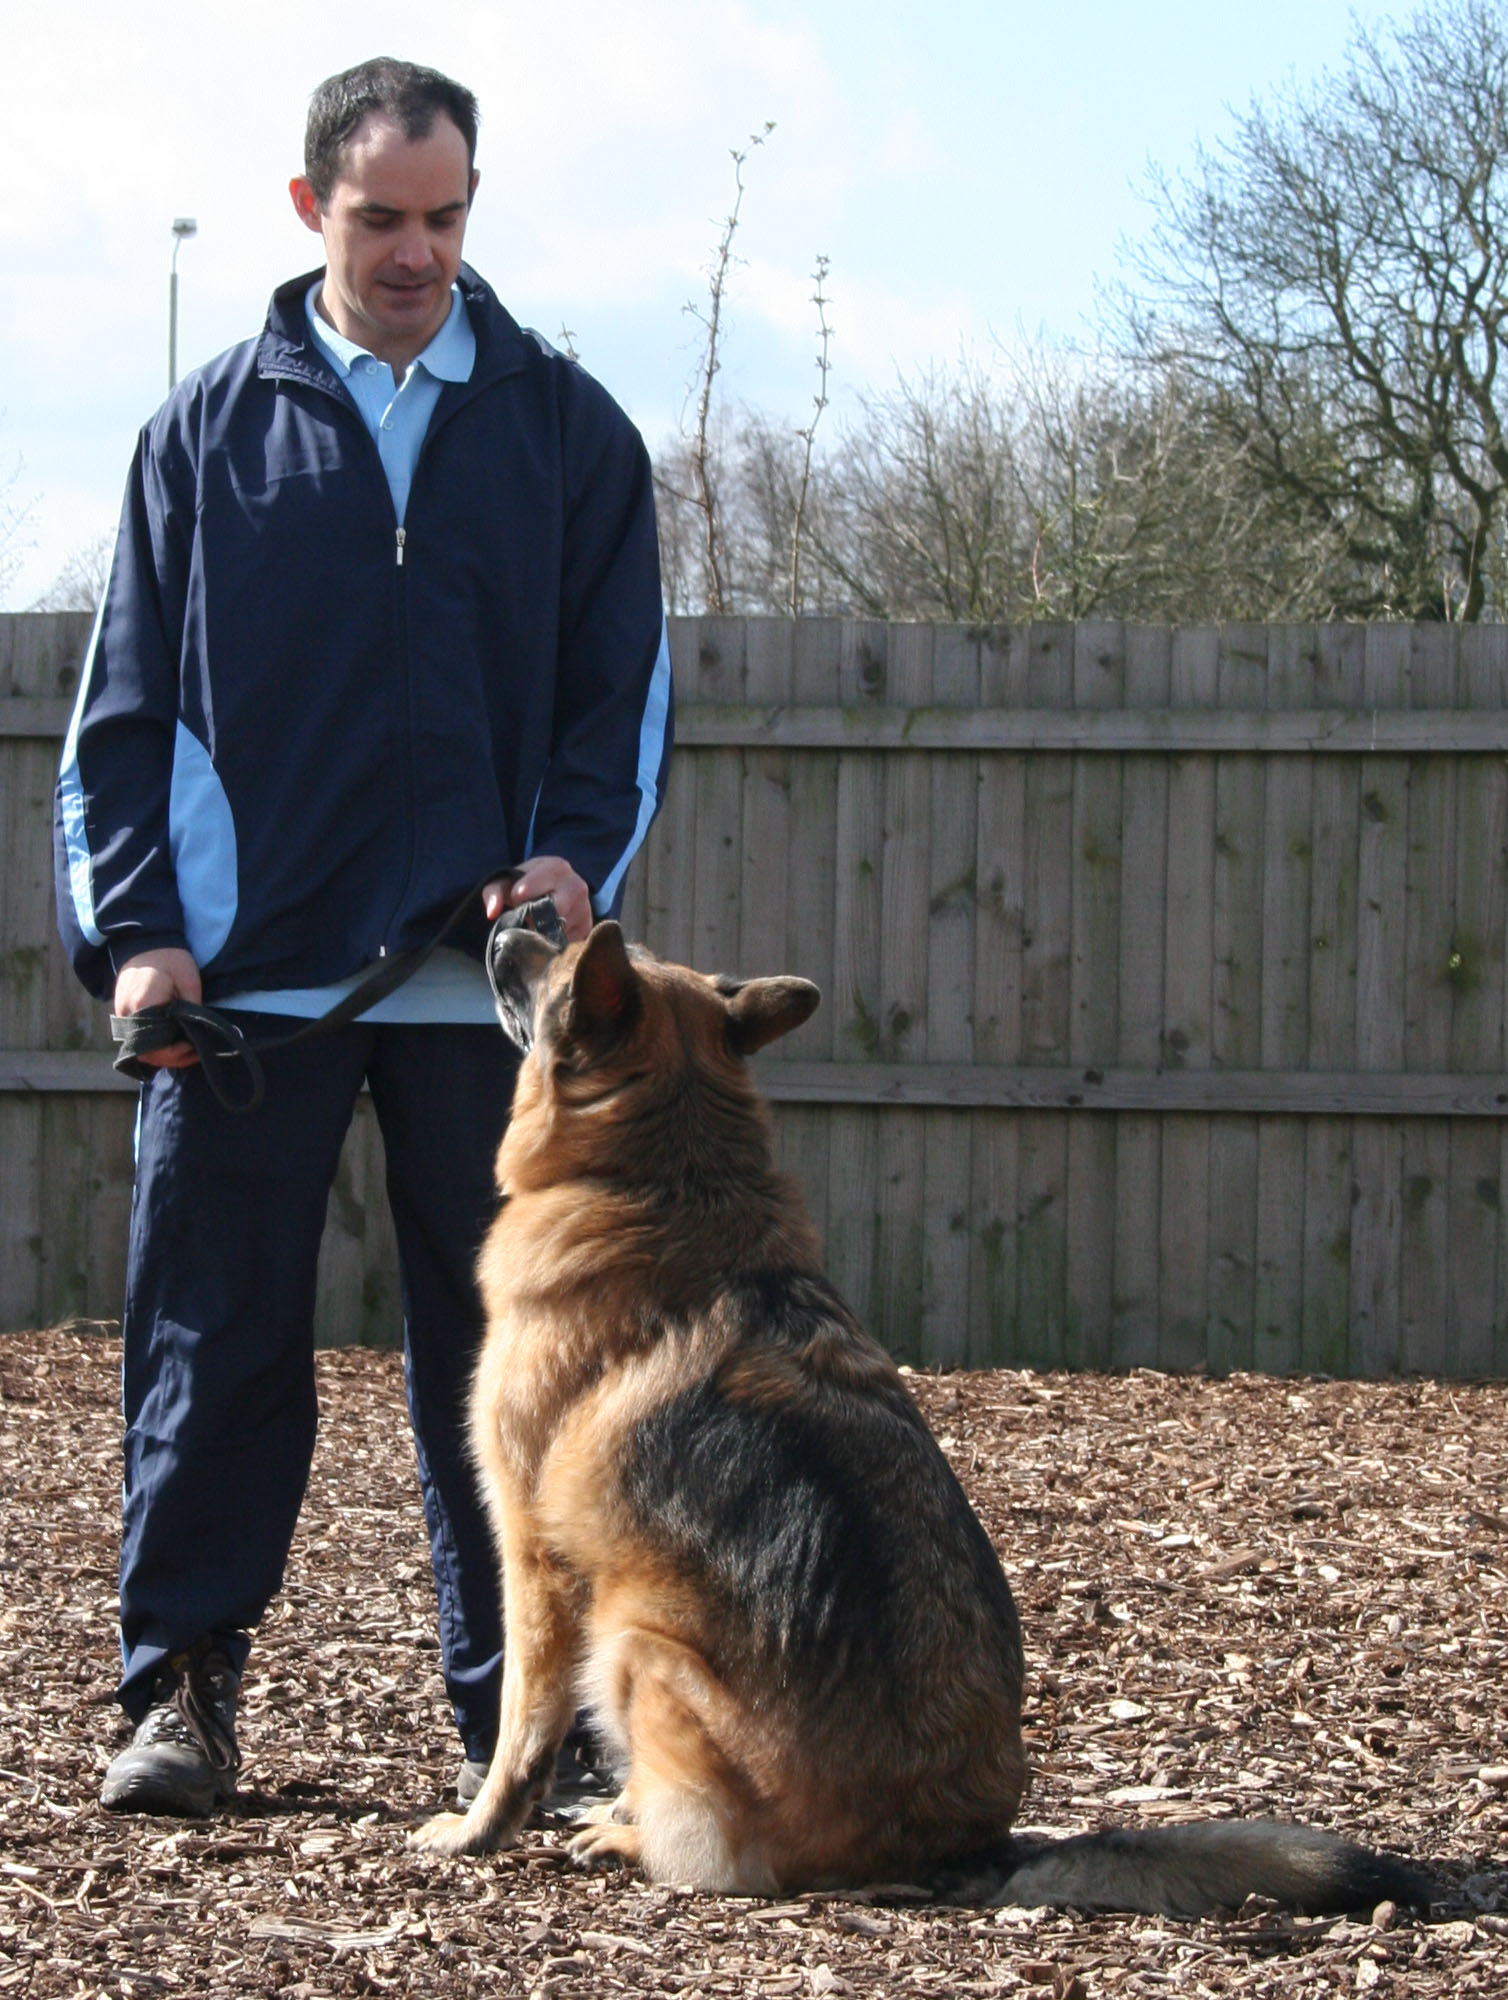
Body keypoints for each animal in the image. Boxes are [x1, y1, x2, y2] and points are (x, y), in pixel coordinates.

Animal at [414, 928, 1432, 1912]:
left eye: (560, 954)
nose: (504, 922)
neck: (670, 1177)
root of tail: (969, 1849)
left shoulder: (536, 1562)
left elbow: (522, 1730)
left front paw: (480, 1832)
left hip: (635, 1641)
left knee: (724, 1864)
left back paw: (636, 1843)